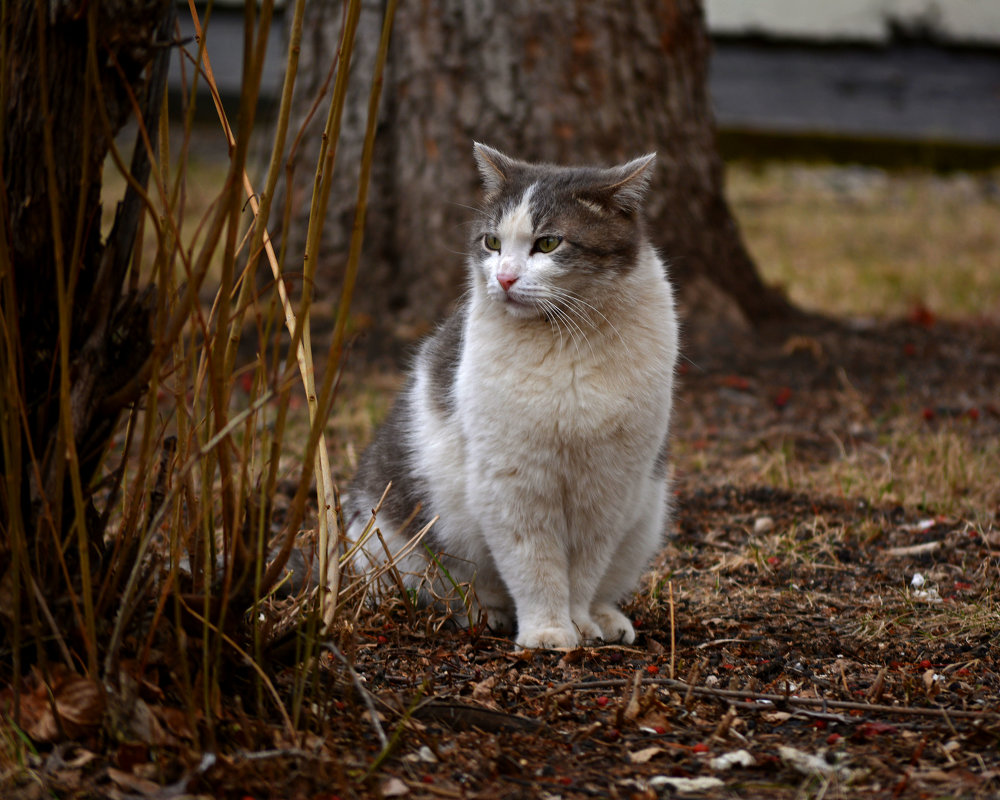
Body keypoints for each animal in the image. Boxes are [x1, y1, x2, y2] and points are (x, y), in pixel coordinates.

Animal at [344, 144, 680, 648]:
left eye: (549, 243)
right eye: (492, 243)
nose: (503, 278)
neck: (566, 342)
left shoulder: (609, 485)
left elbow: (583, 570)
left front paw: (578, 622)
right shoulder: (513, 481)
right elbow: (535, 566)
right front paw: (548, 632)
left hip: (644, 517)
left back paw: (606, 619)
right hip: (387, 540)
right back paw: (484, 613)